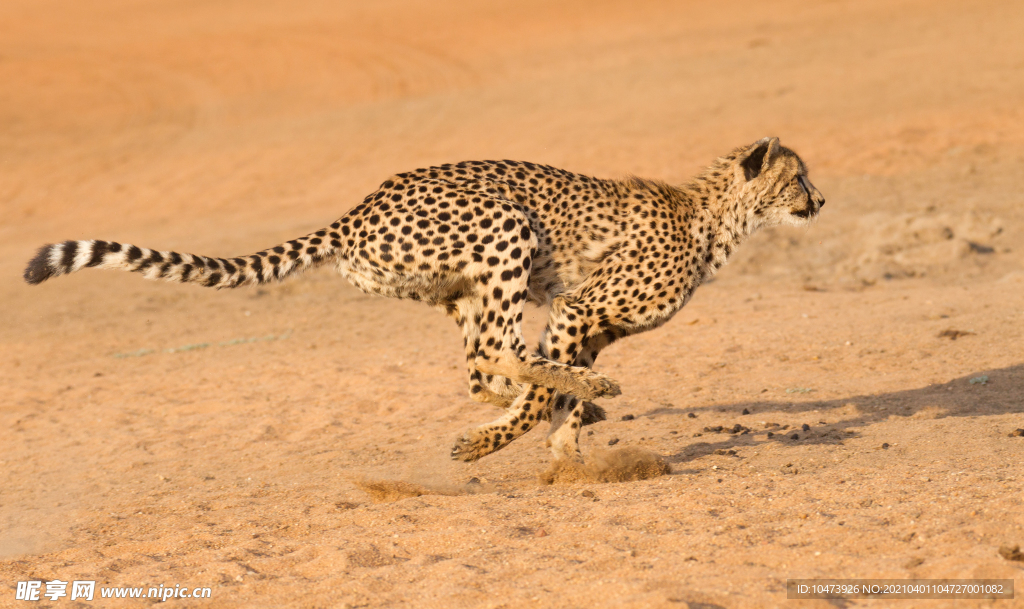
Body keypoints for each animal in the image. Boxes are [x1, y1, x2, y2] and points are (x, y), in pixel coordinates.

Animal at [22, 137, 823, 462]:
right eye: (798, 177)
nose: (821, 200)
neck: (715, 217)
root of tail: (359, 207)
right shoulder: (576, 311)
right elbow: (546, 387)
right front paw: (517, 440)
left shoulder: (588, 325)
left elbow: (549, 392)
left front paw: (566, 444)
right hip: (505, 229)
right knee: (497, 352)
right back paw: (558, 401)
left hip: (460, 287)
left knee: (478, 365)